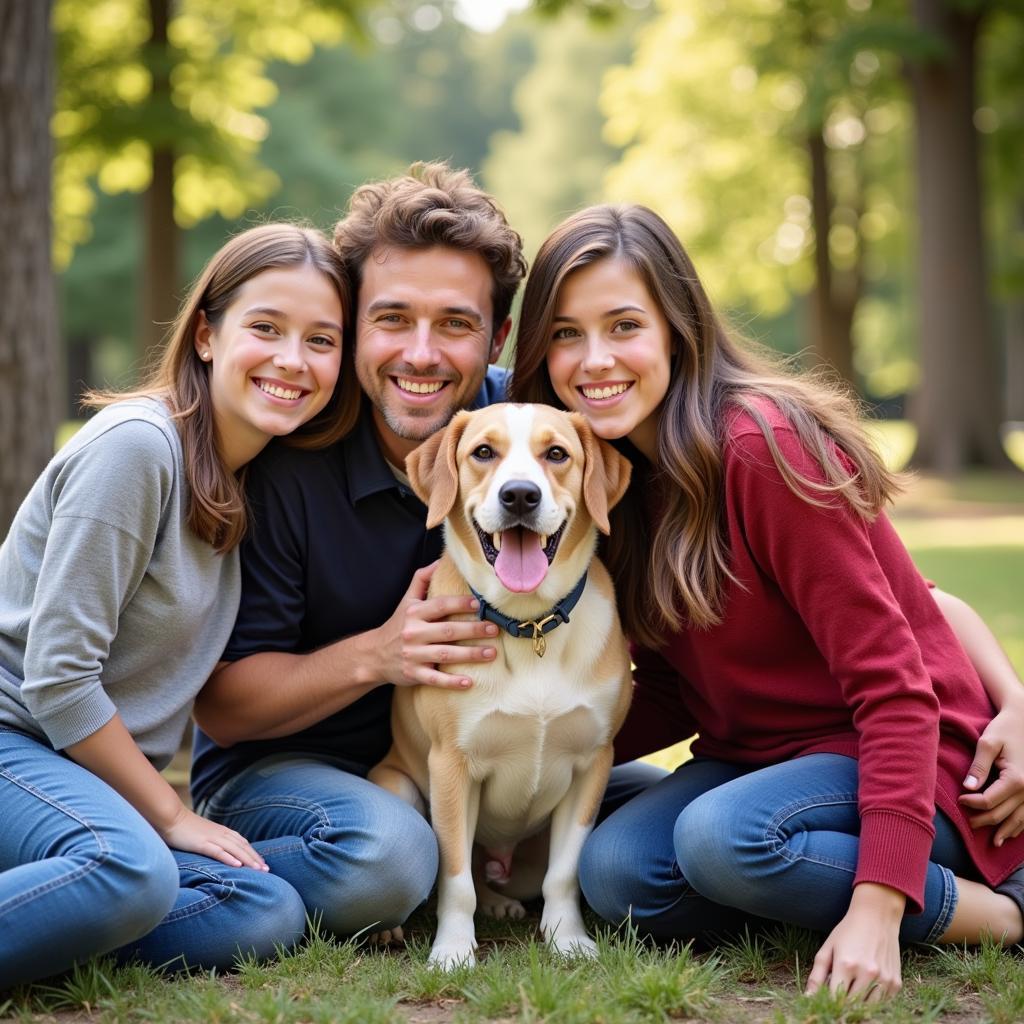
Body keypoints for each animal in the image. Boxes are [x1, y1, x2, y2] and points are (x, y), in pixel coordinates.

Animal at [372, 401, 630, 966]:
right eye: (483, 452)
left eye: (556, 454)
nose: (519, 495)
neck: (528, 624)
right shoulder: (450, 766)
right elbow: (454, 878)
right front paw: (452, 950)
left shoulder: (592, 763)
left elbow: (564, 873)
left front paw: (567, 938)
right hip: (400, 786)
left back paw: (500, 901)